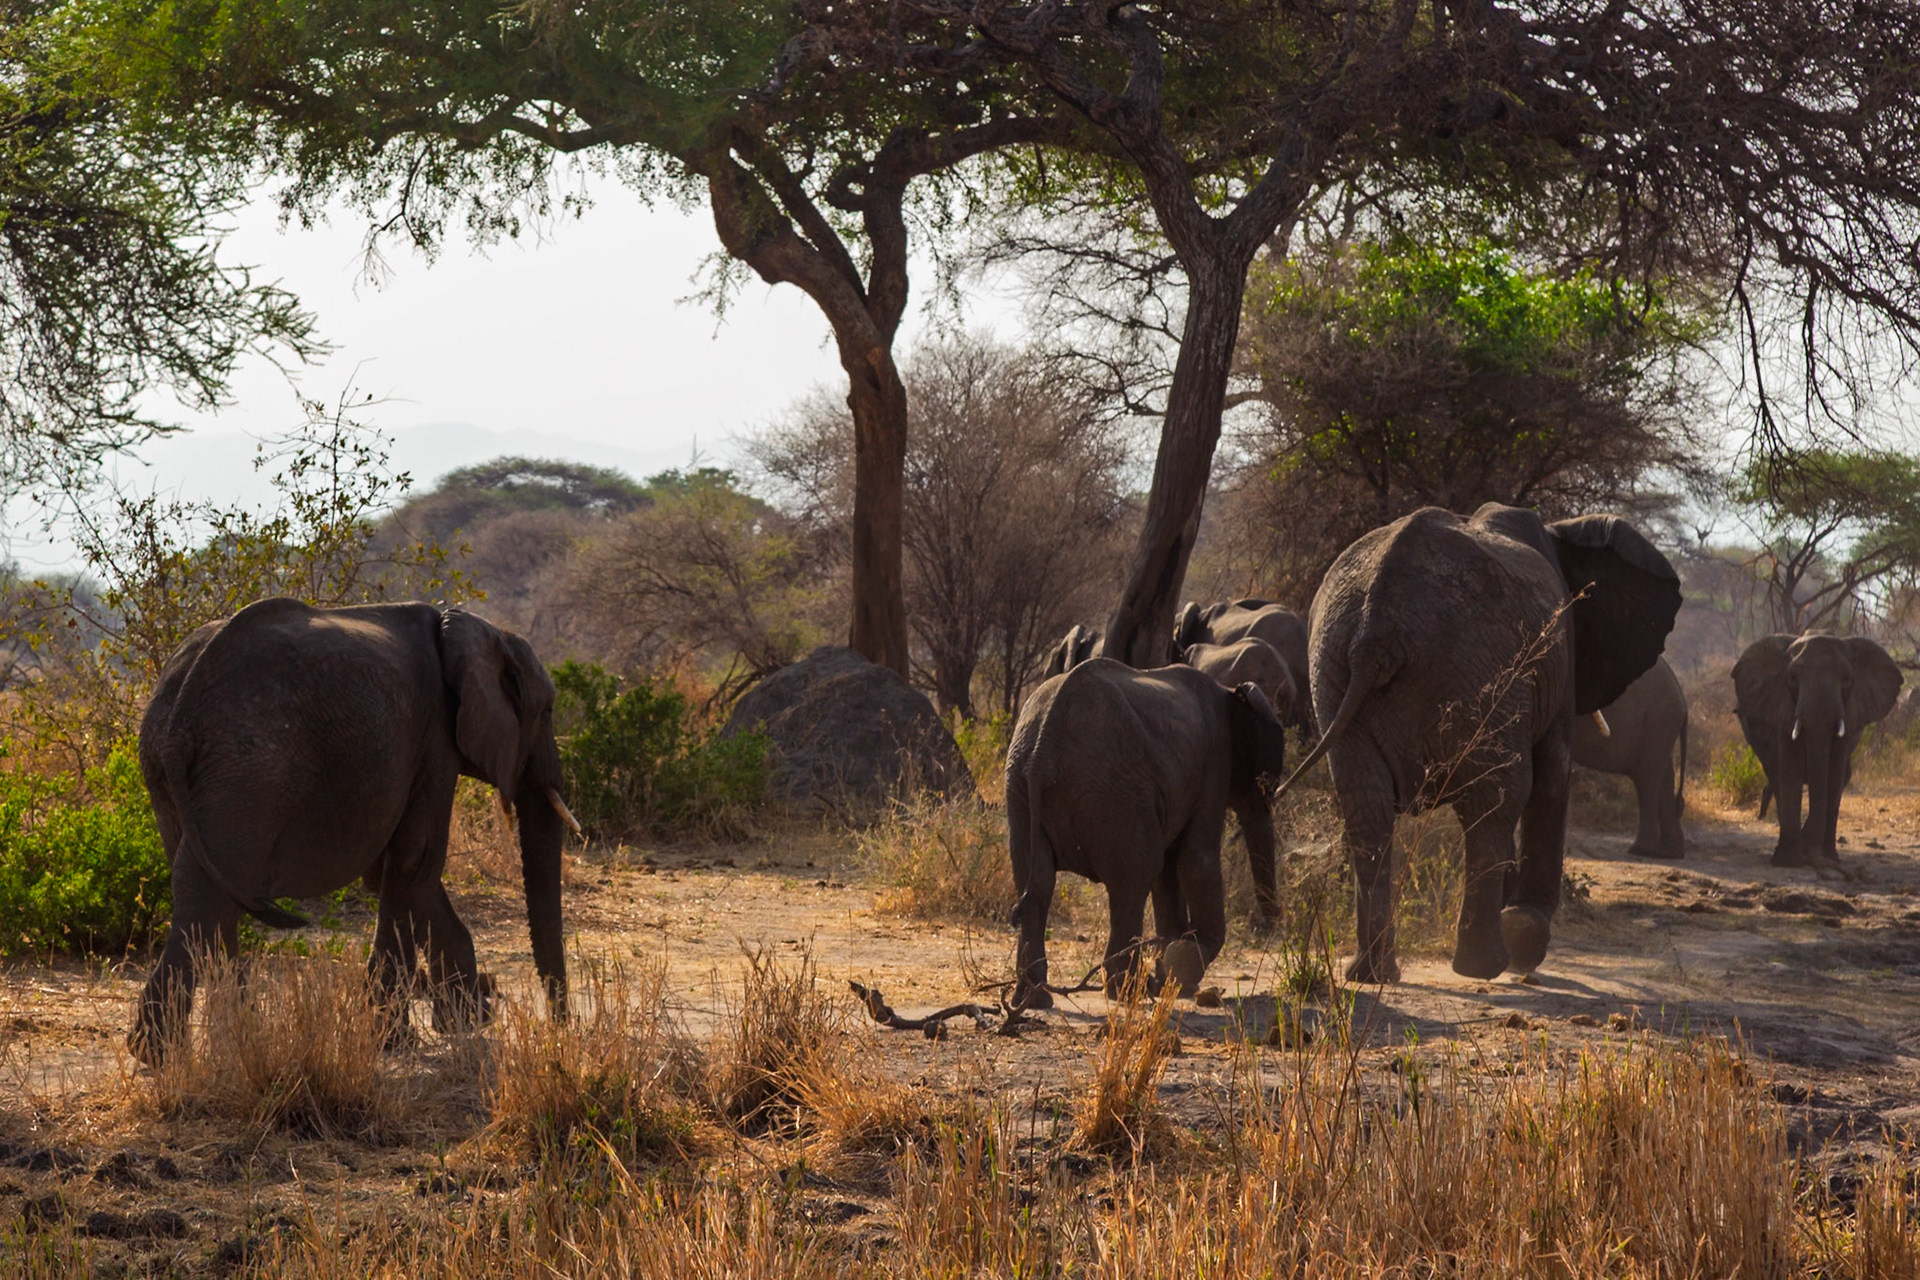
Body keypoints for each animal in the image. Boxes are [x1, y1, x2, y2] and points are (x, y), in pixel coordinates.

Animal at [129, 597, 578, 1064]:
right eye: (546, 711)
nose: (562, 1027)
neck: (473, 628)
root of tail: (183, 703)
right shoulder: (435, 740)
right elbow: (415, 865)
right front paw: (395, 1042)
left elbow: (394, 874)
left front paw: (466, 1021)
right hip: (248, 768)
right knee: (208, 893)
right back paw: (157, 1053)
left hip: (170, 766)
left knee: (209, 888)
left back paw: (229, 1042)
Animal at [1005, 659, 1289, 1008]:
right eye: (1263, 781)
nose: (1276, 922)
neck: (1232, 692)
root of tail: (1043, 752)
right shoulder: (1215, 761)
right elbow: (1196, 862)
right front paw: (1182, 961)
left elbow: (1169, 873)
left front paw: (1171, 977)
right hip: (1115, 790)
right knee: (1133, 880)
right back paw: (1126, 992)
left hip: (1021, 784)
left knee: (1038, 882)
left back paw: (1034, 999)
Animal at [1570, 657, 1689, 860]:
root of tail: (1683, 698)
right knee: (1663, 778)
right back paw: (1670, 853)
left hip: (1658, 725)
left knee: (1647, 780)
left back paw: (1641, 850)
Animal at [1732, 633, 1903, 869]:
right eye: (1793, 678)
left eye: (1847, 680)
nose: (1813, 857)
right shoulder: (1784, 706)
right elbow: (1791, 769)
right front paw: (1788, 861)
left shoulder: (1849, 713)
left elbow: (1835, 774)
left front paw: (1827, 857)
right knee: (1774, 773)